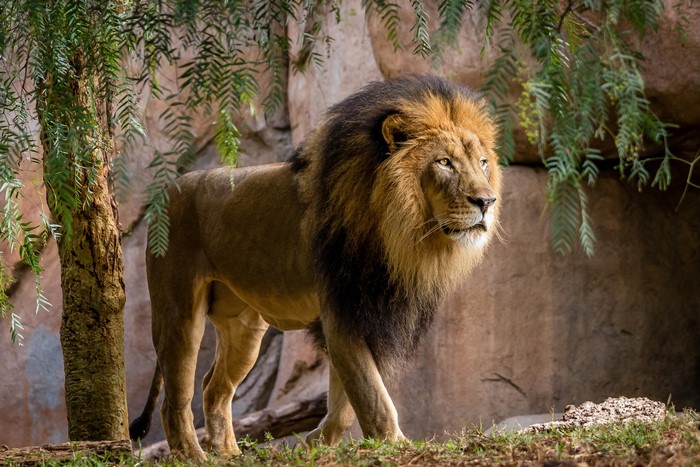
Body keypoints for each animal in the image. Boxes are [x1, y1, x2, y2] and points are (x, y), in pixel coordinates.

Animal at [129, 74, 502, 460]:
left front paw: (315, 443)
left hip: (244, 326)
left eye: (482, 162)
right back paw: (194, 455)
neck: (401, 232)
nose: (487, 201)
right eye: (444, 162)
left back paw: (228, 454)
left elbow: (348, 401)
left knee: (213, 386)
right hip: (179, 313)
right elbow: (372, 395)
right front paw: (395, 444)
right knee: (175, 398)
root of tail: (166, 192)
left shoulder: (361, 313)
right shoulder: (342, 311)